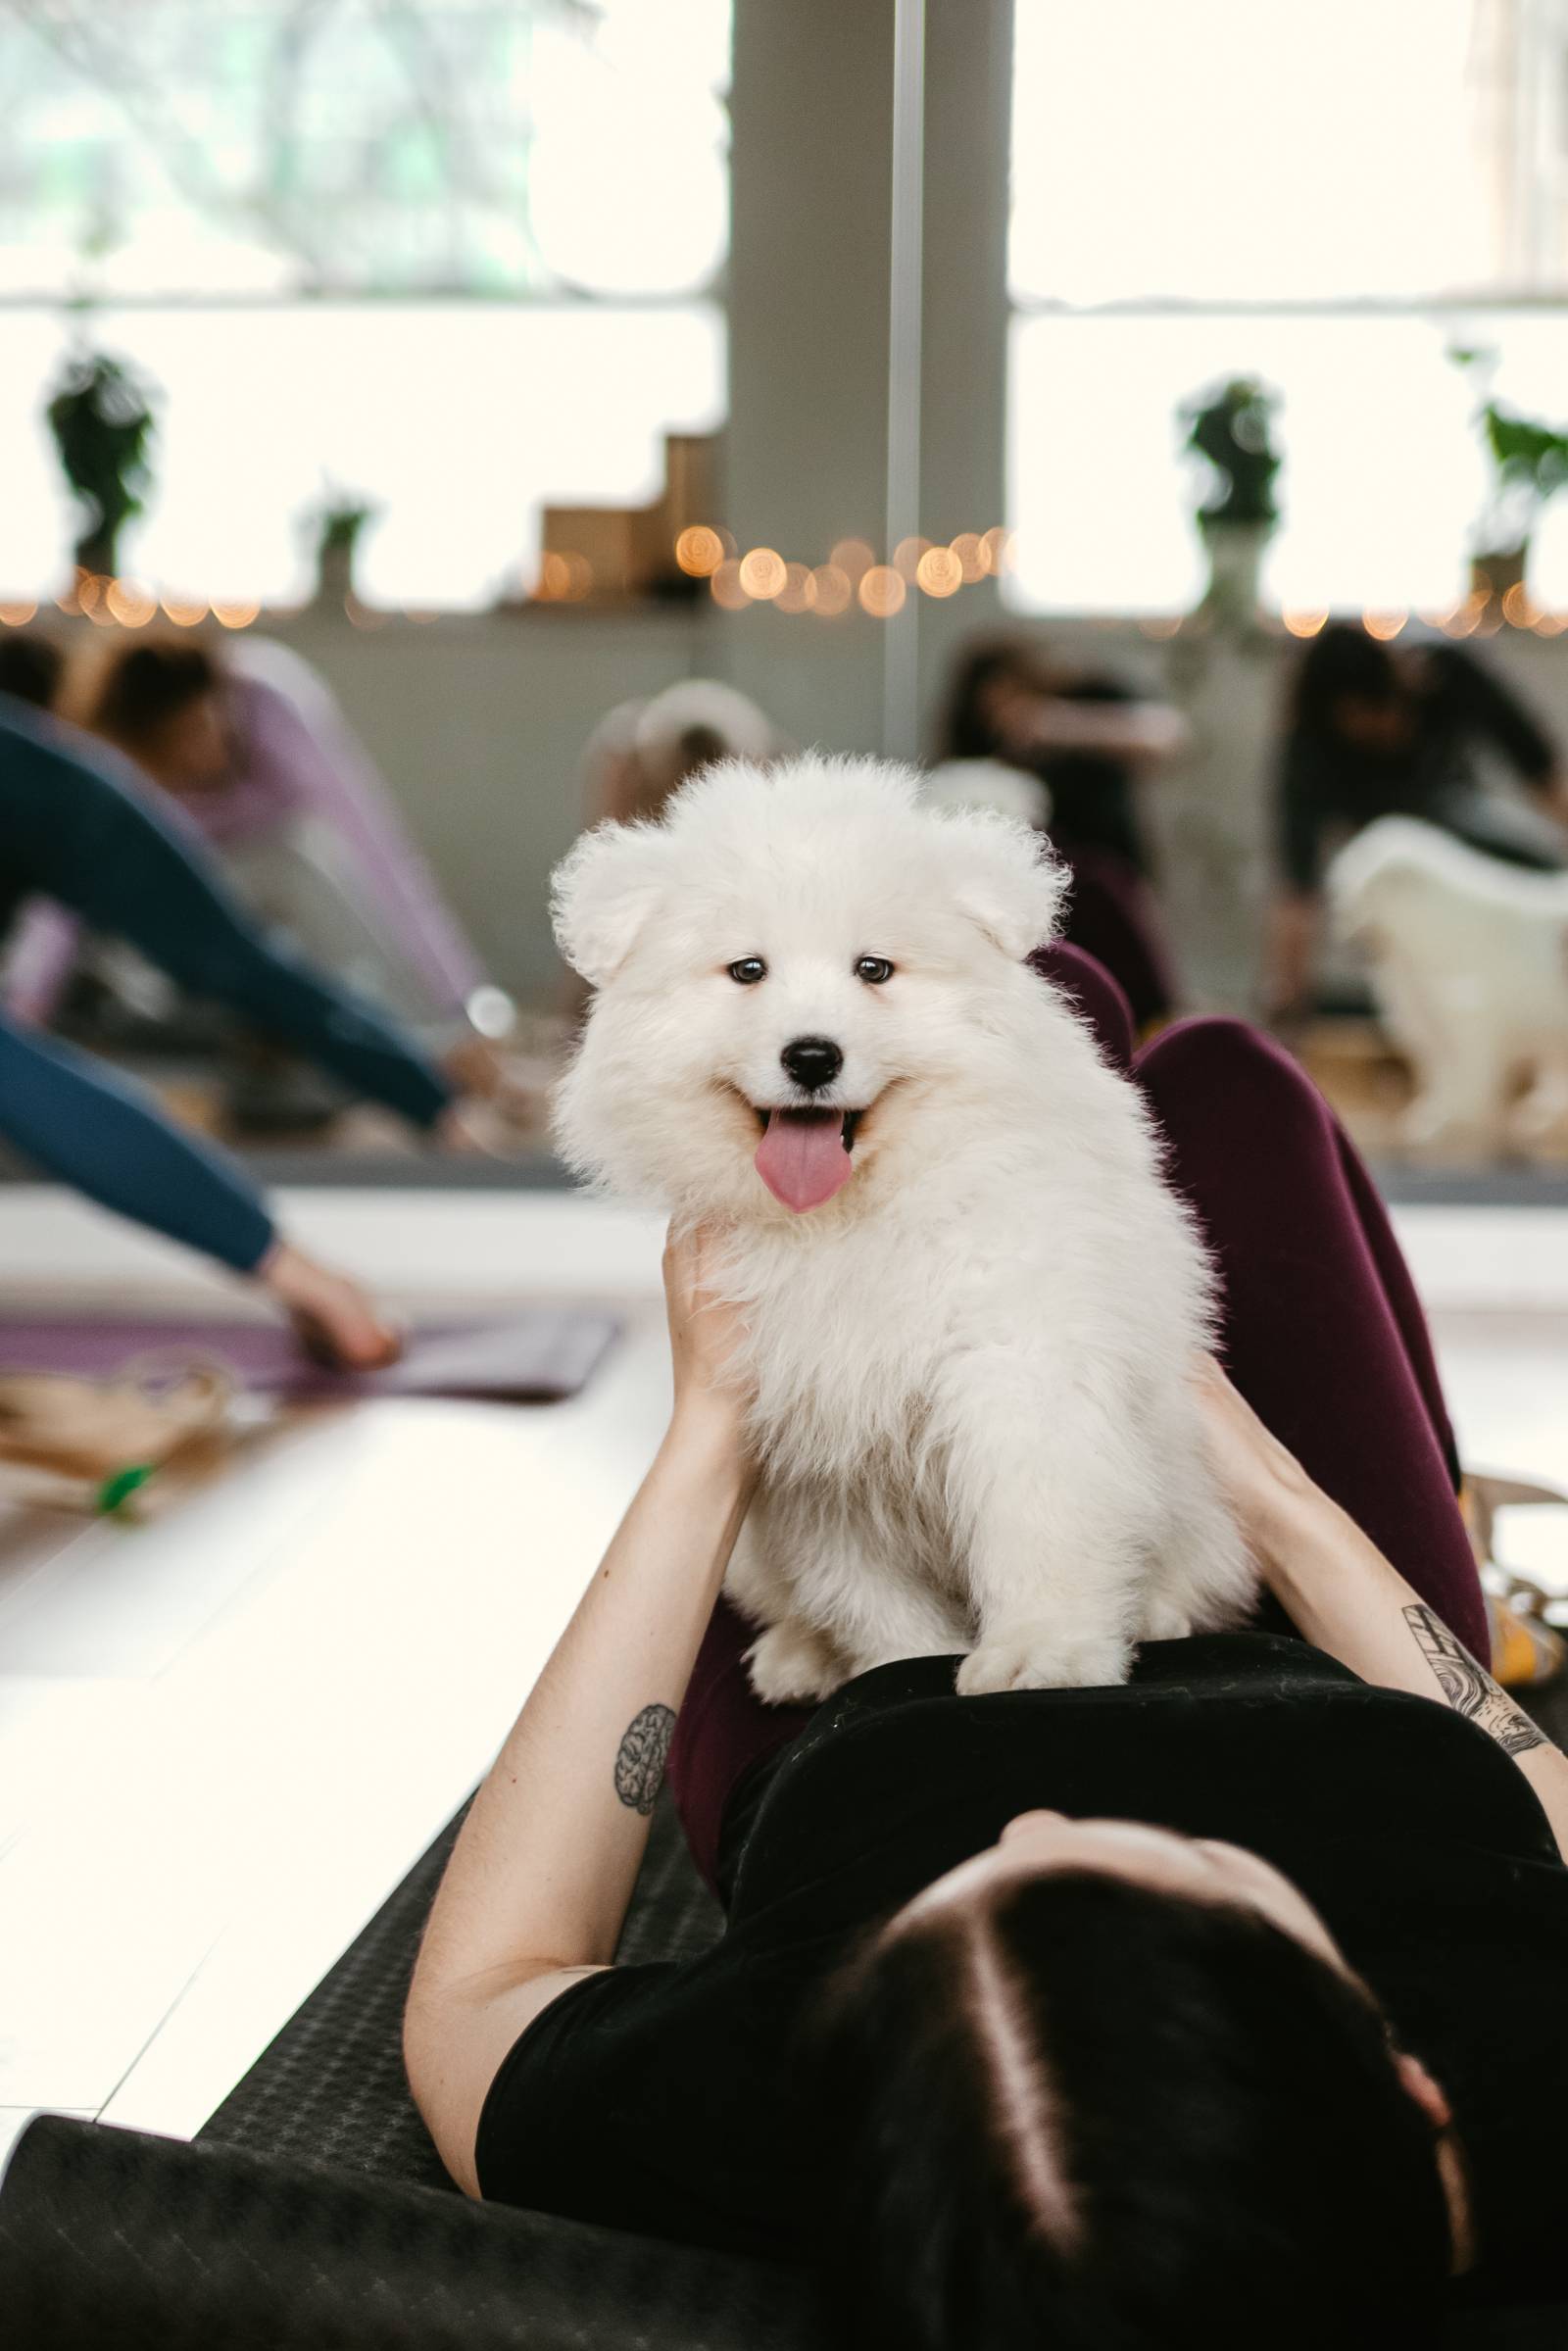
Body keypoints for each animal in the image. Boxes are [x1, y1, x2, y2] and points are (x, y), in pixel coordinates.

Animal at [552, 761, 1250, 1701]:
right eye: (747, 970)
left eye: (874, 968)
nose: (812, 1056)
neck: (851, 1218)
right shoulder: (809, 1430)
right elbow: (868, 1598)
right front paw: (899, 1668)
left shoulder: (1022, 1360)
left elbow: (1038, 1517)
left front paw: (1045, 1651)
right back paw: (797, 1655)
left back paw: (1157, 1611)